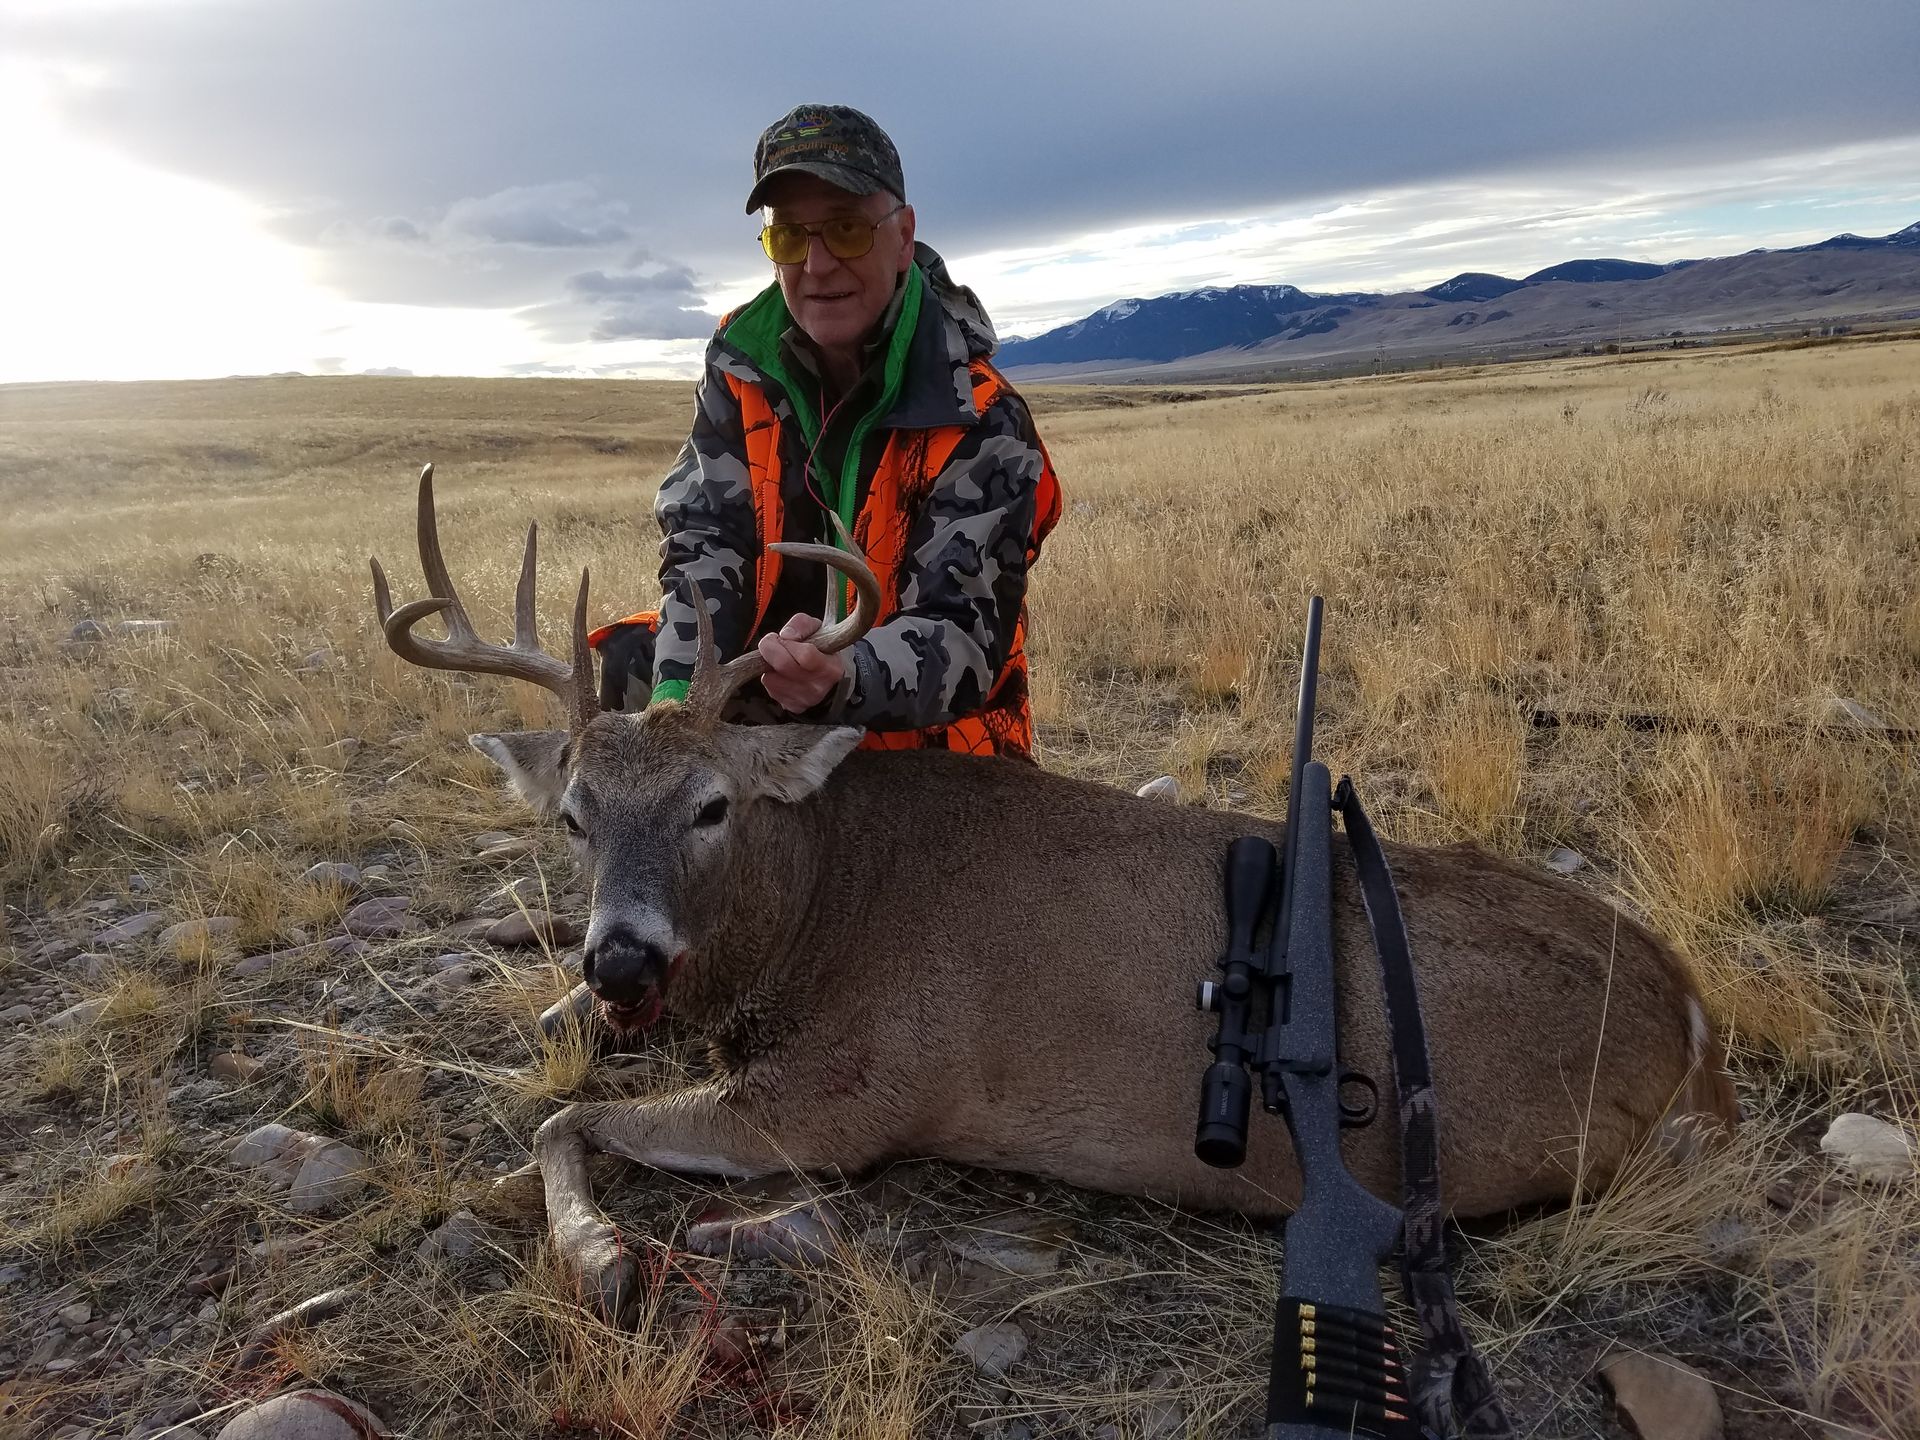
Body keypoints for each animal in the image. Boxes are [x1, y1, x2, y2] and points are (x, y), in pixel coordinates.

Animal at [372, 465, 1737, 1322]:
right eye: (573, 816)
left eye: (713, 805)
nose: (619, 960)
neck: (821, 900)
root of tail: (1690, 1011)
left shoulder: (846, 1098)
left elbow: (563, 1119)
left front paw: (603, 1257)